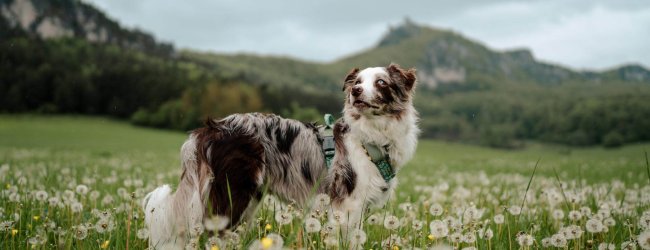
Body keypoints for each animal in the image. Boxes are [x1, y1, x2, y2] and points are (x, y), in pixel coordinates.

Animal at [140, 63, 420, 248]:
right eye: (358, 82)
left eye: (381, 82)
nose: (356, 91)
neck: (371, 135)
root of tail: (212, 128)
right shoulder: (348, 204)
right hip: (231, 195)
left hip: (248, 199)